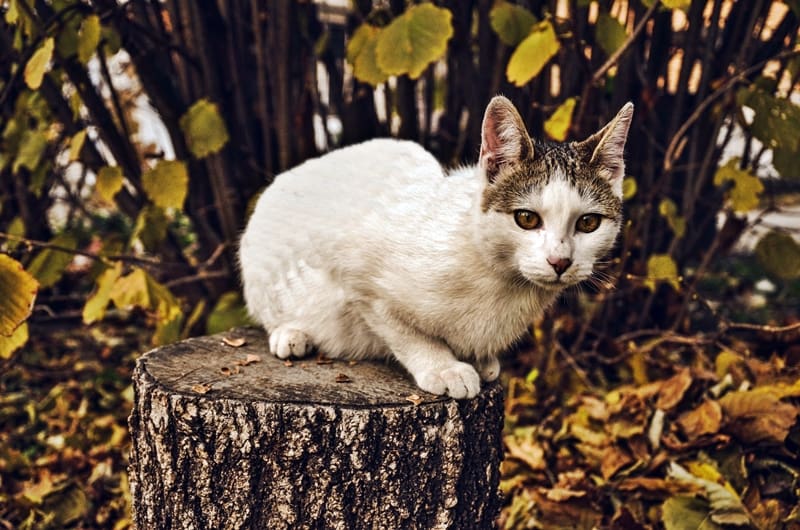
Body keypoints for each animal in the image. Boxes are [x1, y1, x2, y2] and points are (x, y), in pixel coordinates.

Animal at [238, 97, 632, 398]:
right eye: (527, 219)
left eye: (588, 223)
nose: (559, 261)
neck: (500, 280)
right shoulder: (360, 280)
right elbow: (406, 332)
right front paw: (443, 367)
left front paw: (480, 359)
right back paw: (291, 334)